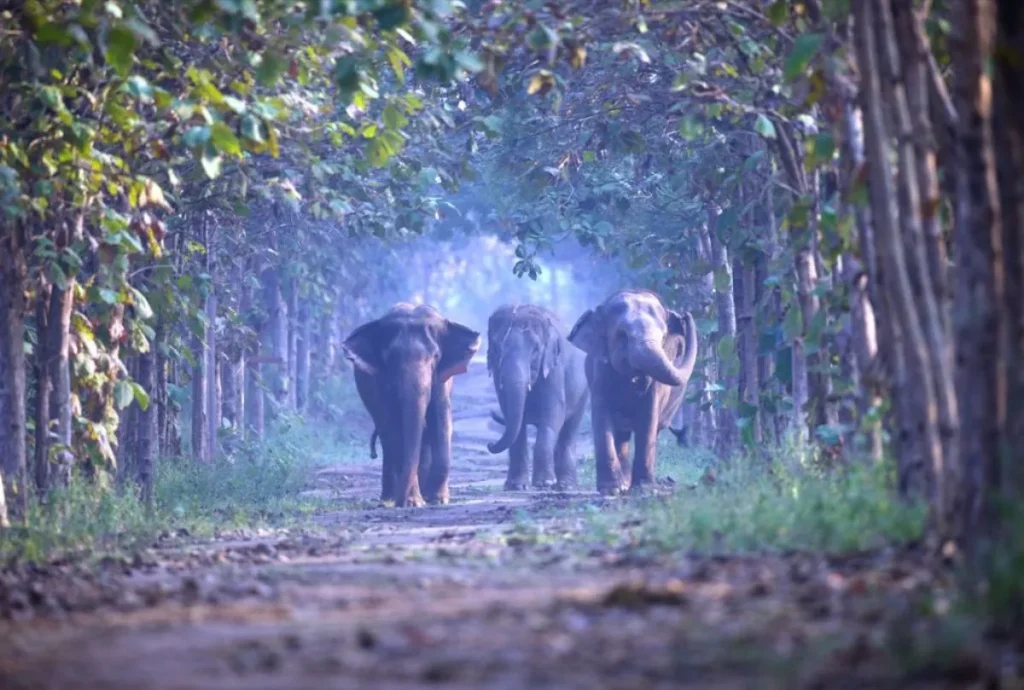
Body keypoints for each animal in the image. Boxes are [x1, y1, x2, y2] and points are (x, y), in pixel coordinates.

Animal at [339, 300, 475, 505]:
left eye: (436, 356)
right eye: (390, 358)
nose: (402, 500)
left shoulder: (442, 378)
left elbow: (441, 419)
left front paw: (437, 499)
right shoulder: (380, 381)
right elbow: (392, 425)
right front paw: (412, 502)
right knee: (388, 436)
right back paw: (387, 499)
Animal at [485, 303, 589, 489]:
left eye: (535, 350)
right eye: (497, 348)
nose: (490, 444)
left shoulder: (555, 368)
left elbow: (553, 412)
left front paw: (544, 483)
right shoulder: (497, 373)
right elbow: (510, 414)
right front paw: (516, 486)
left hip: (583, 391)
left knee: (569, 431)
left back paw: (565, 485)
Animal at [565, 286, 700, 491]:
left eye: (663, 336)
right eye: (622, 335)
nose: (684, 315)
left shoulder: (655, 387)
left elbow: (648, 417)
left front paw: (643, 488)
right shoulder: (599, 372)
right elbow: (601, 415)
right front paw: (611, 489)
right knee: (621, 435)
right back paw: (623, 485)